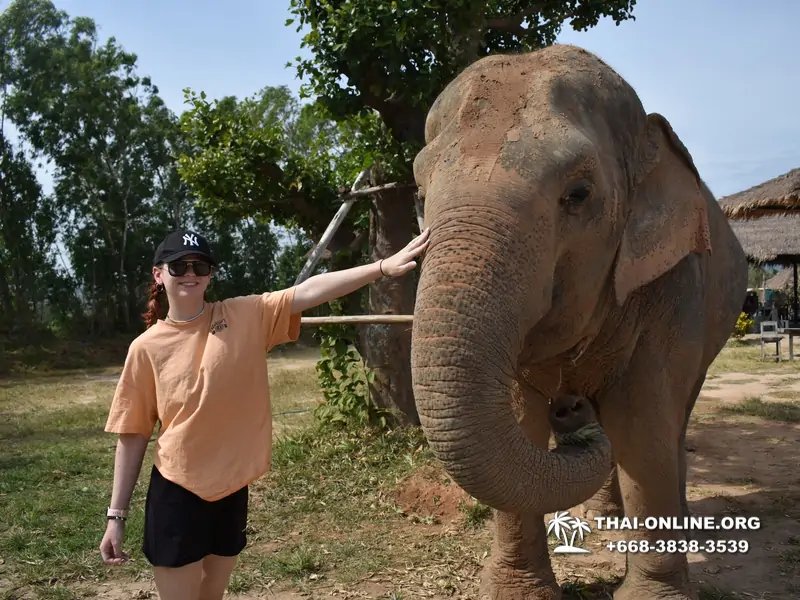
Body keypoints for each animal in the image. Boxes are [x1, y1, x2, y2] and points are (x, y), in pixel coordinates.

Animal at [410, 43, 748, 600]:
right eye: (419, 197)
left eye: (579, 194)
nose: (570, 415)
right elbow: (519, 417)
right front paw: (517, 592)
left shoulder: (673, 283)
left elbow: (641, 423)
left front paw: (652, 596)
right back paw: (603, 515)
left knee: (676, 416)